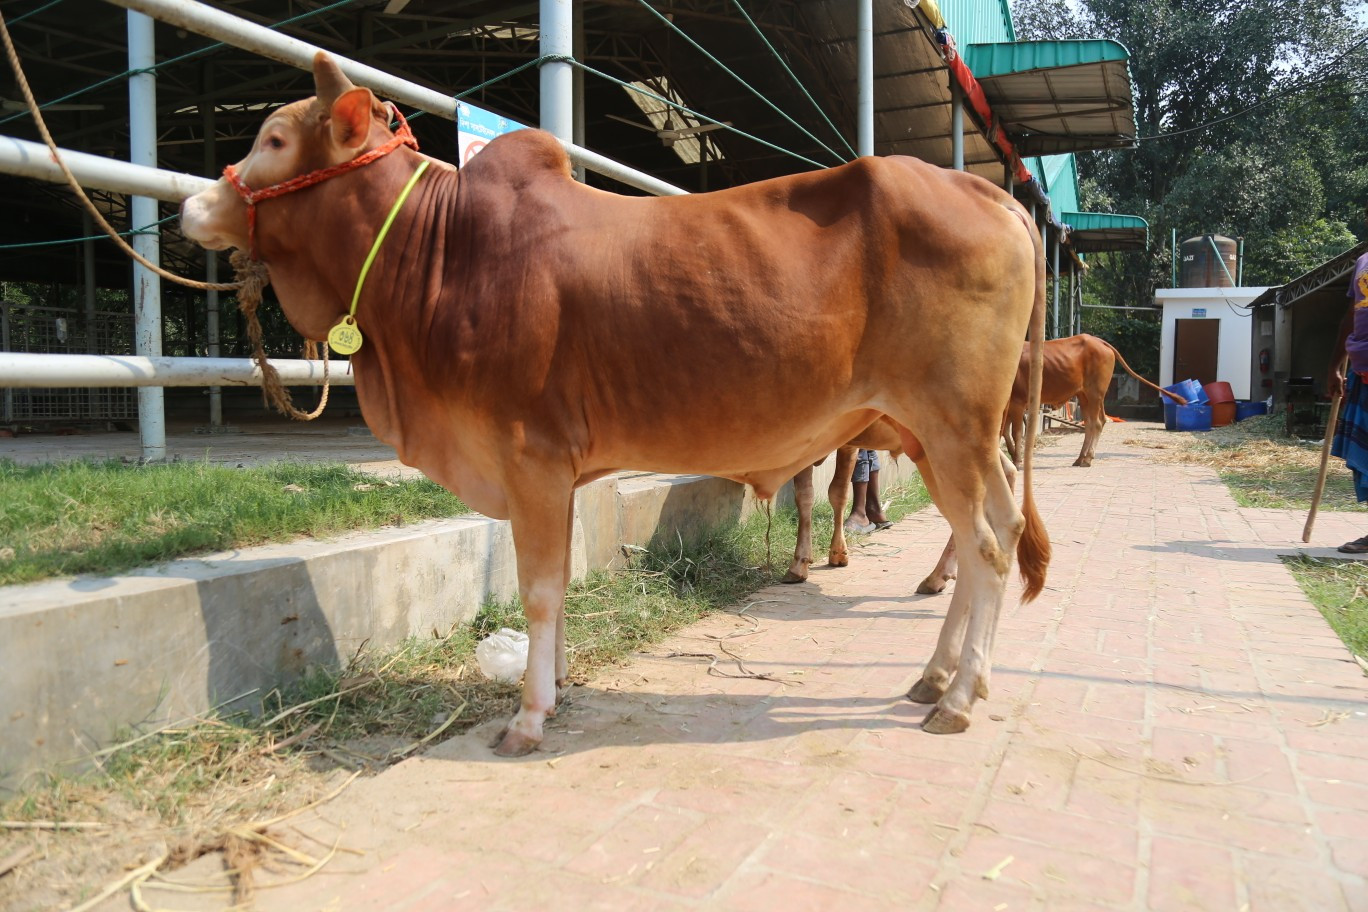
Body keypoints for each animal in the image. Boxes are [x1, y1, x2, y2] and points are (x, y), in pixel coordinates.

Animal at [179, 53, 1050, 755]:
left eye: (274, 140)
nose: (191, 206)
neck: (441, 253)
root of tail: (987, 193)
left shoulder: (530, 457)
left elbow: (537, 590)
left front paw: (529, 715)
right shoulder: (555, 470)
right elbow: (558, 583)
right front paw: (557, 687)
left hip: (955, 429)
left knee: (989, 547)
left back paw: (958, 698)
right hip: (942, 439)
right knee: (993, 535)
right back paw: (937, 678)